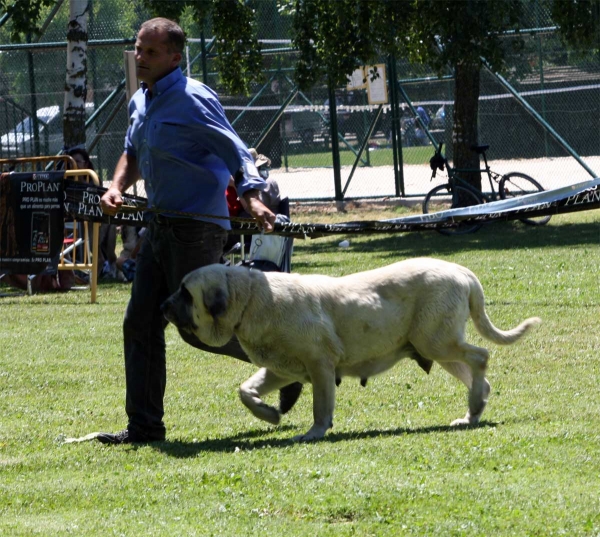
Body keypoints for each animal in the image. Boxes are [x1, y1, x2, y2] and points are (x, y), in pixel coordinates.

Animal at [162, 258, 540, 440]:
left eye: (185, 292)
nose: (163, 305)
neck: (251, 299)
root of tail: (463, 271)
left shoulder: (319, 364)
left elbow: (320, 406)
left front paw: (313, 433)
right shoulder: (281, 368)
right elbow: (246, 390)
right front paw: (269, 414)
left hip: (436, 340)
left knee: (481, 357)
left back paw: (473, 406)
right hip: (437, 346)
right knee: (479, 373)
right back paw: (471, 414)